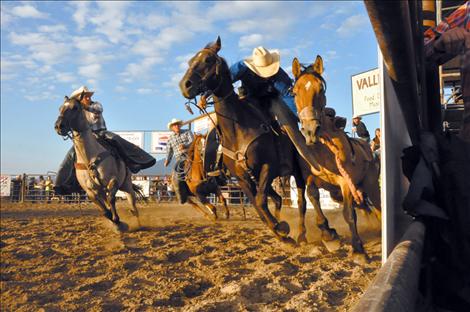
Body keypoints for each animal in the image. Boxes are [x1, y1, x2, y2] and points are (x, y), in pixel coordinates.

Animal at [178, 38, 306, 244]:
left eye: (207, 60)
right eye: (191, 61)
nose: (185, 85)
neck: (238, 129)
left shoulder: (268, 167)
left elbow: (260, 201)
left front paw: (282, 228)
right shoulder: (242, 178)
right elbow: (258, 205)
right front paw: (279, 230)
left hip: (298, 170)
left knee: (302, 200)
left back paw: (302, 233)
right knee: (278, 199)